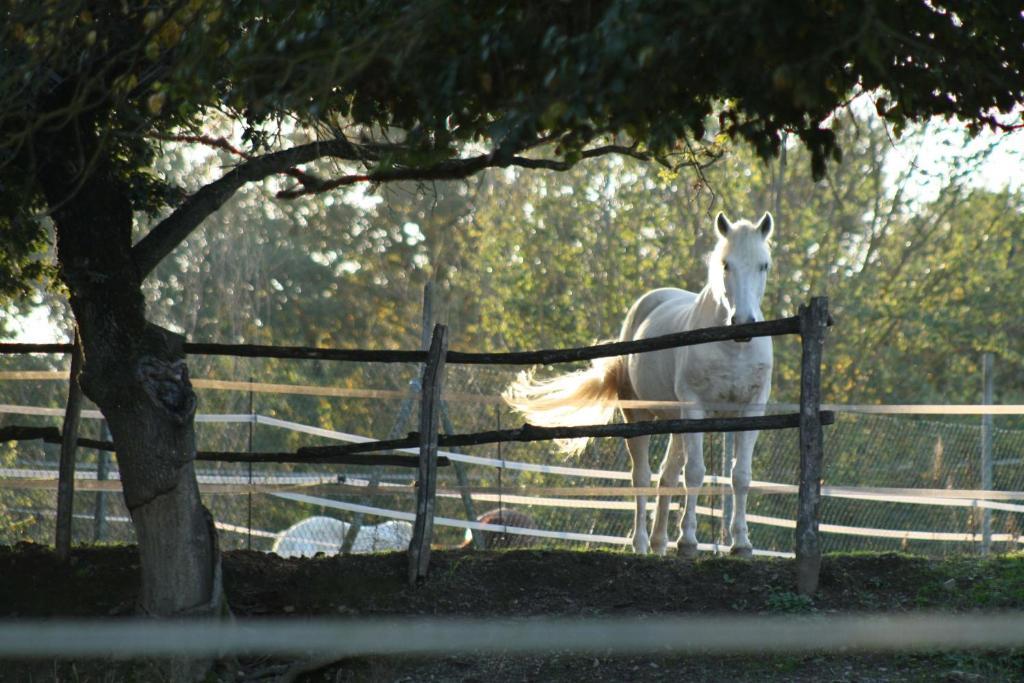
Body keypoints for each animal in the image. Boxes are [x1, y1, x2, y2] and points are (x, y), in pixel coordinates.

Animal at [503, 210, 774, 557]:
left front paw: (741, 544)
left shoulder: (752, 409)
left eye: (763, 265)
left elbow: (740, 475)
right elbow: (695, 473)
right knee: (642, 476)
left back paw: (659, 544)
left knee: (666, 476)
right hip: (640, 418)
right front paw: (688, 542)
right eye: (726, 264)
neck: (731, 348)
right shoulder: (695, 409)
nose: (742, 324)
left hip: (675, 422)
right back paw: (643, 544)